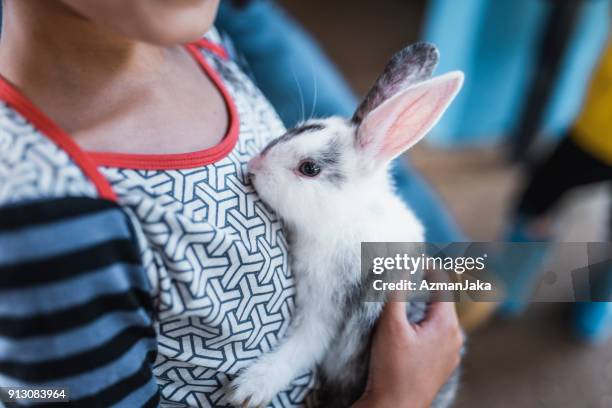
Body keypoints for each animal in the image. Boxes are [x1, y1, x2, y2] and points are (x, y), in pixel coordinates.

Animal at [228, 42, 464, 408]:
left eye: (309, 168)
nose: (252, 167)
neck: (345, 218)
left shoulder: (328, 308)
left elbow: (303, 347)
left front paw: (247, 390)